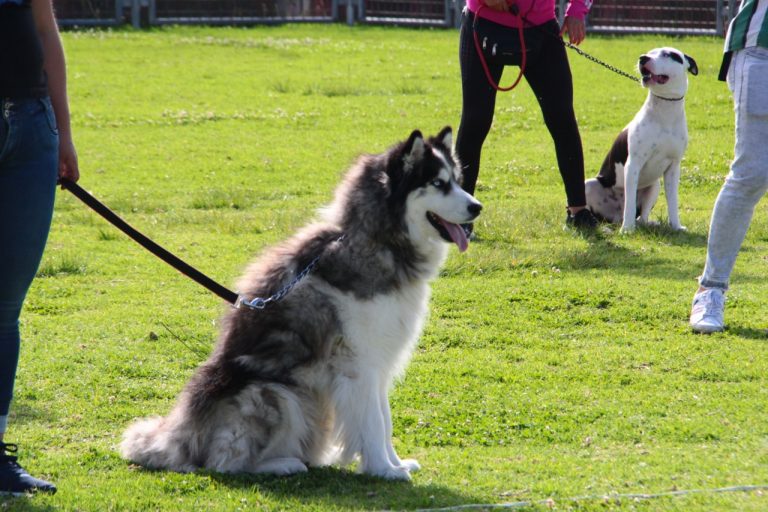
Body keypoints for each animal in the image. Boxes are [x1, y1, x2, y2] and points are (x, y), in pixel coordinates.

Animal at [120, 127, 480, 480]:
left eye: (458, 180)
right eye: (438, 183)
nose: (477, 207)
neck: (376, 240)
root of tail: (180, 437)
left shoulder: (380, 360)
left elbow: (384, 417)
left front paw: (394, 462)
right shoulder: (358, 362)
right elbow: (374, 423)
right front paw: (382, 469)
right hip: (278, 394)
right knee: (223, 464)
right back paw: (283, 464)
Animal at [584, 48, 700, 232]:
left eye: (668, 54)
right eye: (650, 52)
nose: (643, 58)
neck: (665, 111)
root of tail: (615, 217)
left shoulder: (673, 167)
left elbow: (673, 201)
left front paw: (676, 225)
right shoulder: (633, 164)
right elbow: (630, 202)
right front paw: (627, 229)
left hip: (655, 185)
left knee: (642, 216)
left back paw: (646, 223)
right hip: (589, 185)